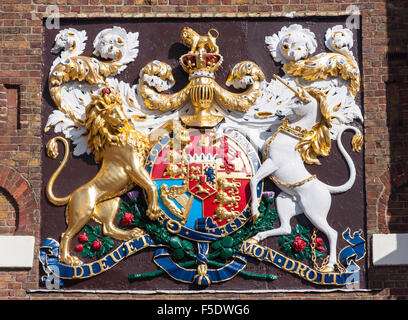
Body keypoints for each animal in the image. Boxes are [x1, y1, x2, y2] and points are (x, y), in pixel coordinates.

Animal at [46, 87, 161, 264]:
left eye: (120, 108)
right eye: (112, 112)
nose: (124, 119)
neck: (118, 133)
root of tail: (72, 195)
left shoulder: (144, 145)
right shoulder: (133, 166)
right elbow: (151, 184)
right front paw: (154, 210)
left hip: (112, 202)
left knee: (108, 228)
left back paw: (131, 233)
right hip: (82, 212)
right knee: (66, 234)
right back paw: (69, 259)